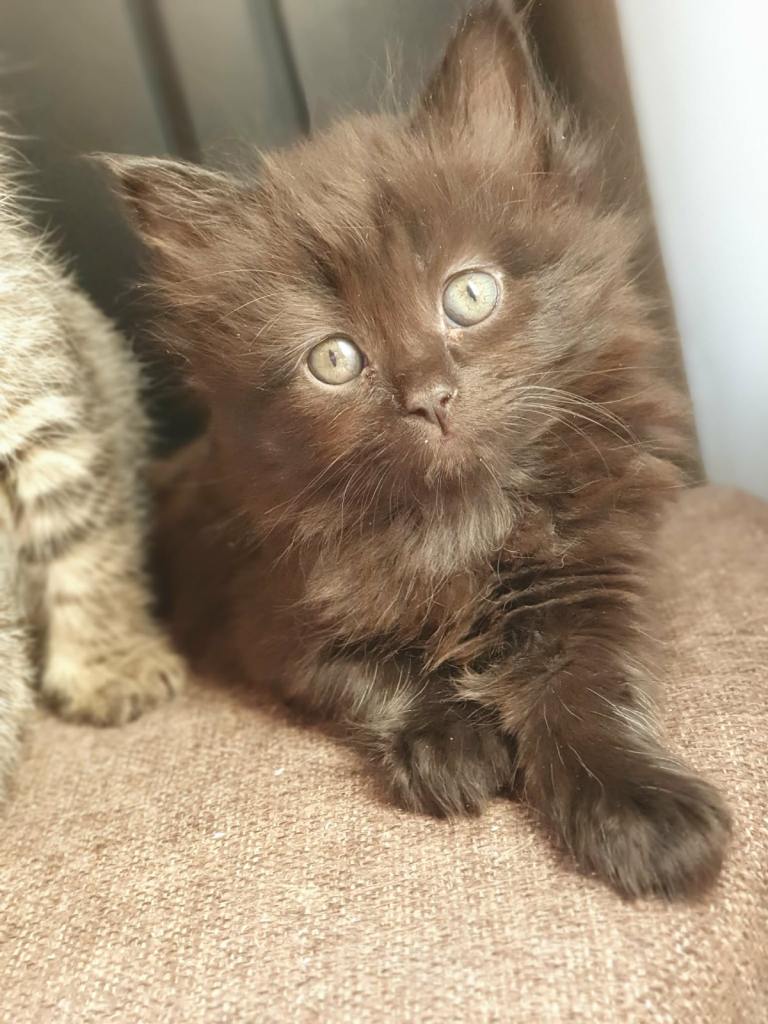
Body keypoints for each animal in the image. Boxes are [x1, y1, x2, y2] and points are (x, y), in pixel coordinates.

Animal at [101, 1, 731, 898]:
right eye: (334, 359)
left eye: (469, 294)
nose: (429, 397)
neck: (455, 522)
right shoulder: (269, 619)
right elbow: (378, 670)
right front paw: (448, 742)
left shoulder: (593, 579)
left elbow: (587, 687)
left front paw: (640, 811)